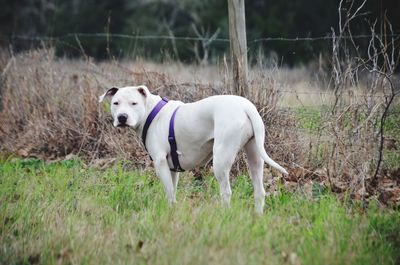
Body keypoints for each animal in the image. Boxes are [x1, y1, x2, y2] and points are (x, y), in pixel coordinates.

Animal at [100, 84, 288, 212]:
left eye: (134, 103)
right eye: (115, 103)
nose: (122, 117)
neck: (150, 112)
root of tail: (246, 107)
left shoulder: (160, 163)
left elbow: (169, 193)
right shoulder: (171, 167)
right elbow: (173, 190)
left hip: (221, 159)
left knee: (226, 192)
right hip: (255, 156)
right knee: (260, 192)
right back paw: (258, 216)